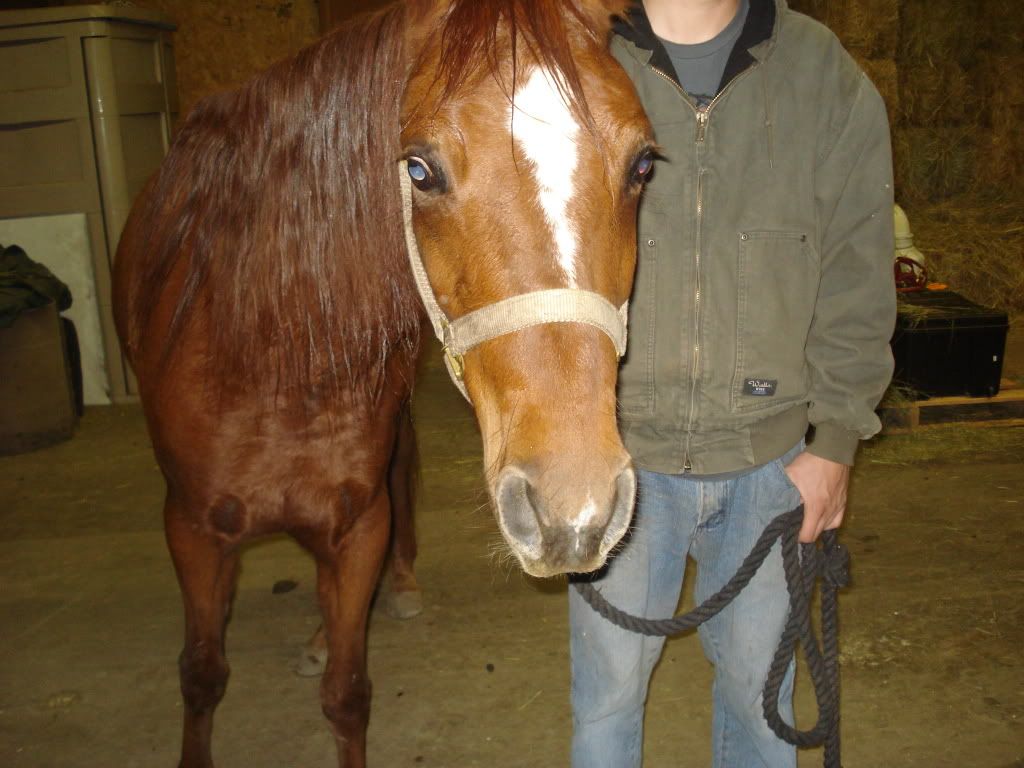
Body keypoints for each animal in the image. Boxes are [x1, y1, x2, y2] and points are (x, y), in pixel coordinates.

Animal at [112, 0, 654, 765]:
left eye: (642, 165)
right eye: (419, 170)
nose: (572, 506)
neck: (270, 363)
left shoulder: (359, 527)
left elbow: (346, 694)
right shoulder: (190, 529)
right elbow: (202, 673)